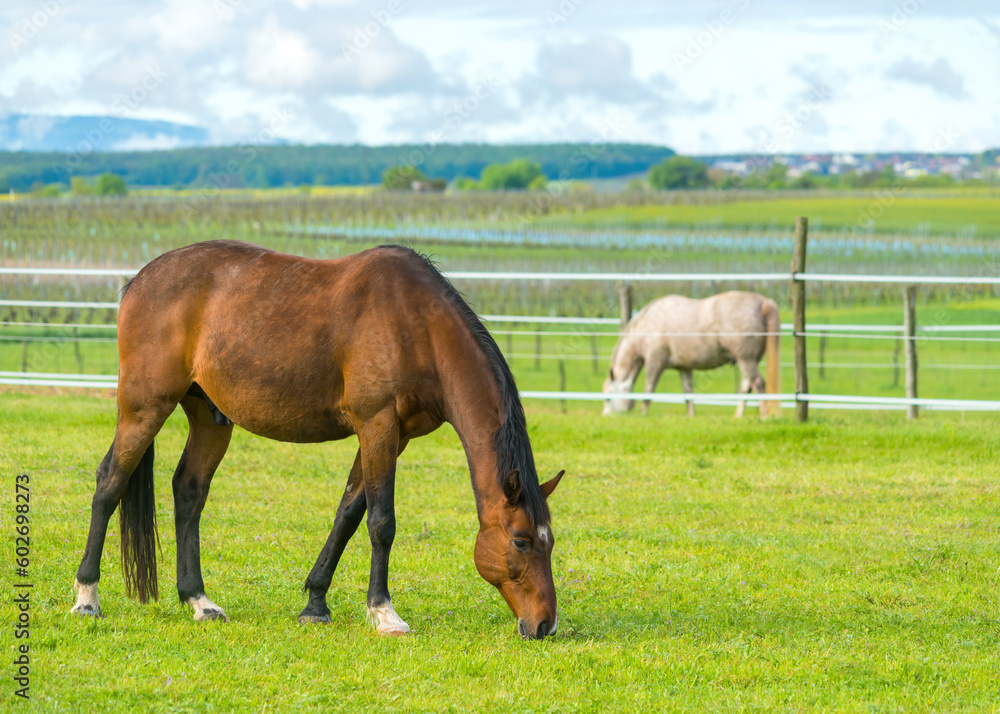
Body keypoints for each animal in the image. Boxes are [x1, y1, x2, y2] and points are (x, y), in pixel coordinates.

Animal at [71, 241, 568, 640]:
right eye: (522, 541)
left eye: (549, 542)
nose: (545, 624)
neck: (417, 327)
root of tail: (139, 282)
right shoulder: (377, 425)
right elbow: (381, 522)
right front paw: (383, 613)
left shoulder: (394, 436)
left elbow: (348, 513)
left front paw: (315, 603)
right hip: (144, 408)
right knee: (110, 482)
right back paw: (87, 597)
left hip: (210, 419)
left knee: (189, 492)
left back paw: (199, 600)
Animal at [600, 290, 780, 418]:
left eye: (608, 398)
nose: (607, 416)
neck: (648, 324)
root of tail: (763, 303)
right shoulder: (684, 367)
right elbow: (688, 393)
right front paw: (691, 415)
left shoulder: (654, 362)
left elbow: (648, 390)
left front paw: (643, 413)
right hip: (751, 360)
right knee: (746, 387)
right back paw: (738, 416)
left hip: (745, 359)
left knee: (758, 384)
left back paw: (764, 416)